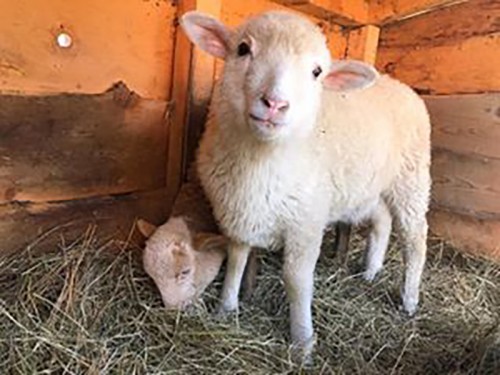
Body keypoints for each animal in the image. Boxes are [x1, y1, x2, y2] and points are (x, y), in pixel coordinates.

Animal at [182, 11, 432, 362]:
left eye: (316, 72)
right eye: (243, 49)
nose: (275, 103)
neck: (262, 159)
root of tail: (398, 84)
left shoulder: (306, 223)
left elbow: (296, 280)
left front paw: (302, 342)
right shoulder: (238, 213)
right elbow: (235, 261)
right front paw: (225, 310)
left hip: (412, 176)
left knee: (415, 237)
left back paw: (409, 299)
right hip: (370, 186)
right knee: (382, 221)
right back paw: (370, 271)